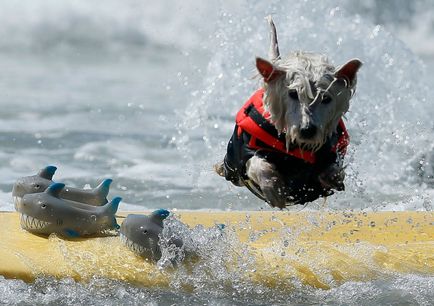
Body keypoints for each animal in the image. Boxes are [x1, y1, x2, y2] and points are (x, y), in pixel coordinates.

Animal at [215, 16, 362, 208]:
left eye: (326, 98)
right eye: (292, 94)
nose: (307, 130)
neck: (294, 147)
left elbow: (332, 170)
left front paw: (332, 176)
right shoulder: (246, 153)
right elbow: (256, 164)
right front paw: (274, 189)